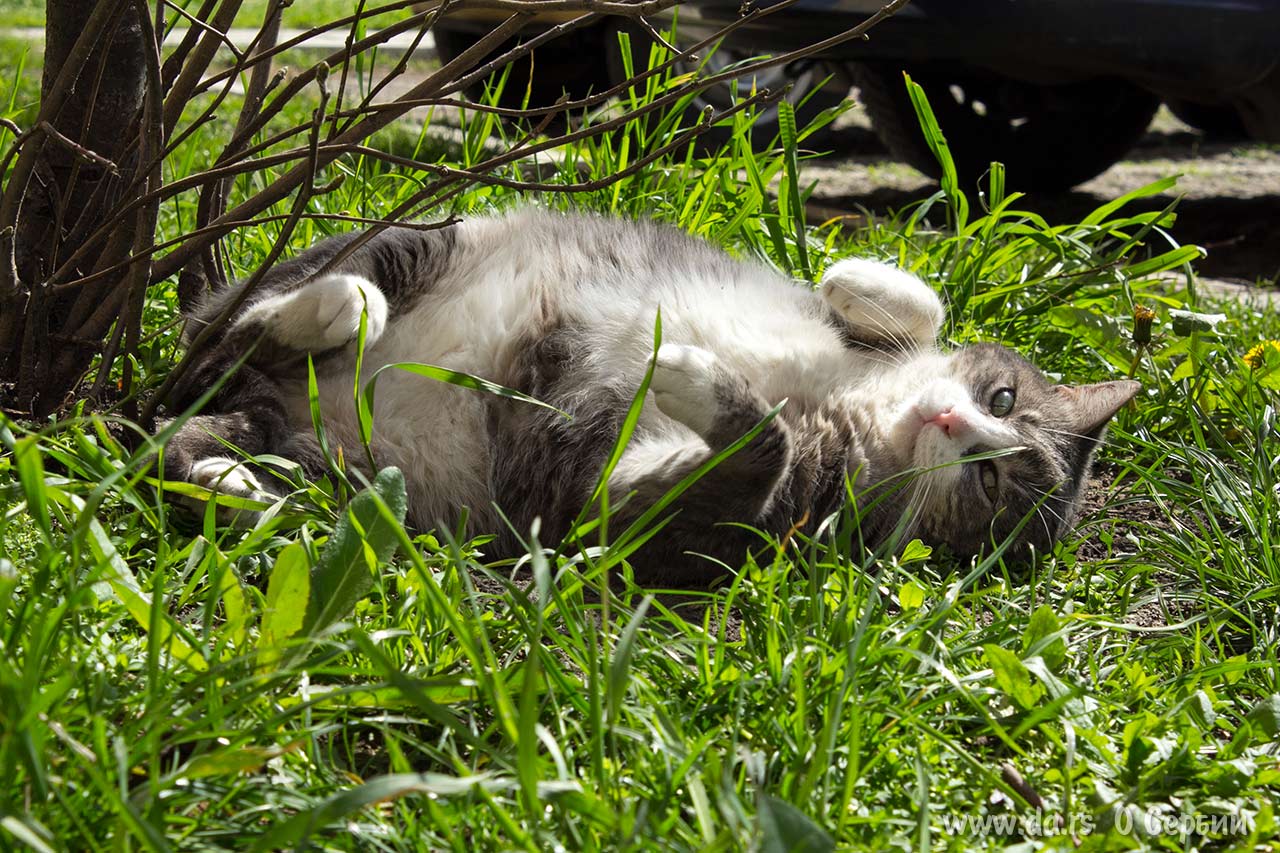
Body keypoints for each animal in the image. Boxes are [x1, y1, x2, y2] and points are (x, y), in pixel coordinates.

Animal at [162, 208, 1141, 584]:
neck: (853, 415)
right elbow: (918, 303)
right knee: (231, 329)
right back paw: (336, 309)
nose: (951, 418)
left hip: (362, 475)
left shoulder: (634, 512)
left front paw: (699, 374)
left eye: (990, 483)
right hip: (421, 239)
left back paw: (237, 482)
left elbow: (752, 451)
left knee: (188, 430)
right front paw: (862, 282)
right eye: (1002, 397)